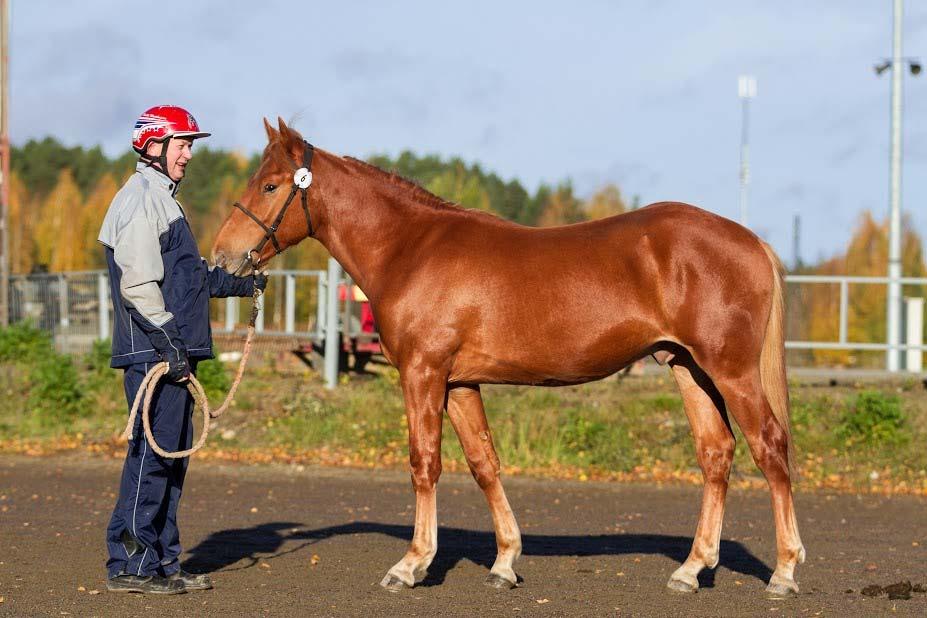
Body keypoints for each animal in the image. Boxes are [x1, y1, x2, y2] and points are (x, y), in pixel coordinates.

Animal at [210, 119, 804, 596]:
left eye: (270, 185)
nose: (220, 256)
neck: (411, 248)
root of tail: (750, 241)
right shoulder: (458, 383)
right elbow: (484, 463)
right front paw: (504, 562)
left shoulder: (423, 374)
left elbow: (425, 463)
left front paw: (411, 564)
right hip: (688, 368)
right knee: (717, 454)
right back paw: (691, 570)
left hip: (731, 371)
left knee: (769, 448)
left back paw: (784, 571)